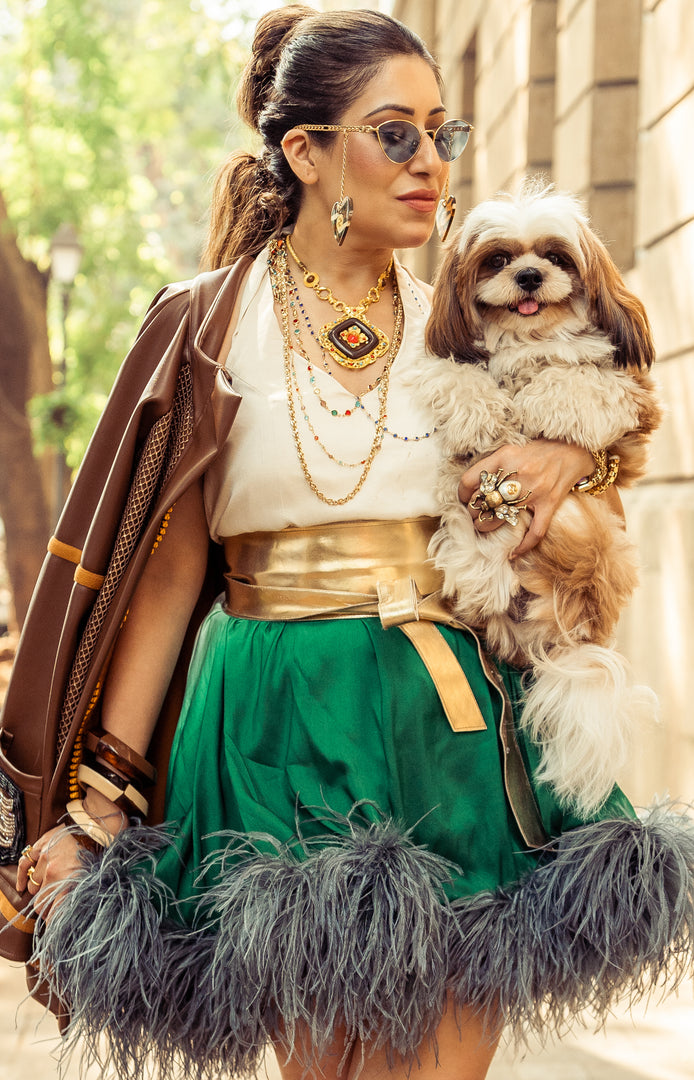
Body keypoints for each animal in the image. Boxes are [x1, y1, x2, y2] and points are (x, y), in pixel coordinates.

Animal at [418, 183, 660, 812]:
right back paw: (479, 568)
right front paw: (484, 412)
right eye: (499, 259)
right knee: (470, 519)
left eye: (555, 256)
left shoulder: (636, 404)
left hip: (592, 536)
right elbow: (457, 374)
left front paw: (543, 401)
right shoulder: (454, 361)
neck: (530, 341)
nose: (528, 275)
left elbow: (584, 379)